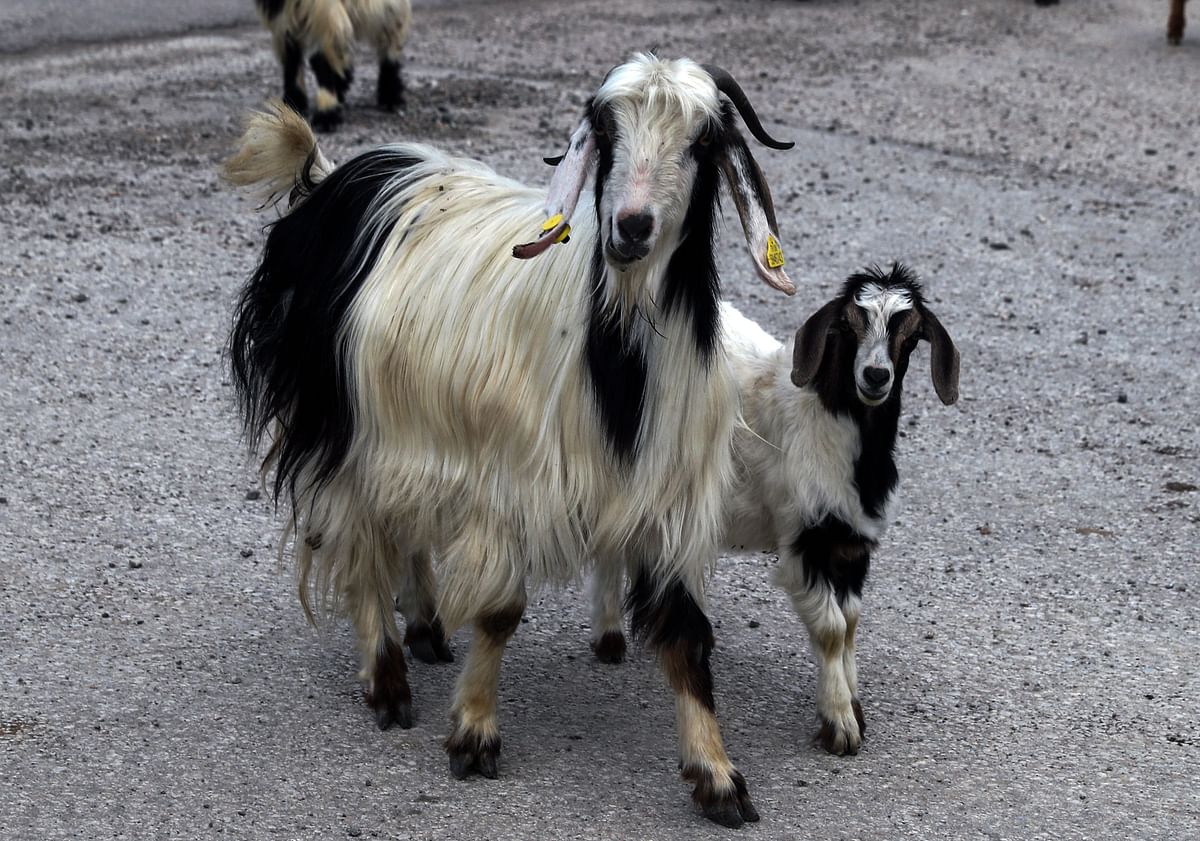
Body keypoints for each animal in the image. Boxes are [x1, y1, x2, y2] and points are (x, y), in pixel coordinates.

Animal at [226, 55, 796, 830]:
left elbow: (686, 636)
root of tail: (332, 178)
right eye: (606, 134)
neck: (616, 361)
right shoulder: (509, 484)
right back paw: (387, 679)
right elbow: (499, 613)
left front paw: (717, 776)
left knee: (403, 527)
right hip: (339, 427)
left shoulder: (667, 498)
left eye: (703, 141)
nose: (631, 228)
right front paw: (473, 733)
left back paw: (427, 627)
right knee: (361, 542)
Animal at [253, 0, 412, 129]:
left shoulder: (324, 11)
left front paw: (326, 116)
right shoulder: (281, 14)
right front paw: (293, 103)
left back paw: (391, 97)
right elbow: (292, 56)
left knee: (390, 38)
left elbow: (321, 60)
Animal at [585, 267, 960, 753]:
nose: (876, 375)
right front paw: (839, 725)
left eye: (911, 334)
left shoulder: (849, 541)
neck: (827, 422)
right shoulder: (804, 537)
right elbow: (832, 629)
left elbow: (851, 623)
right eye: (847, 325)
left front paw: (853, 706)